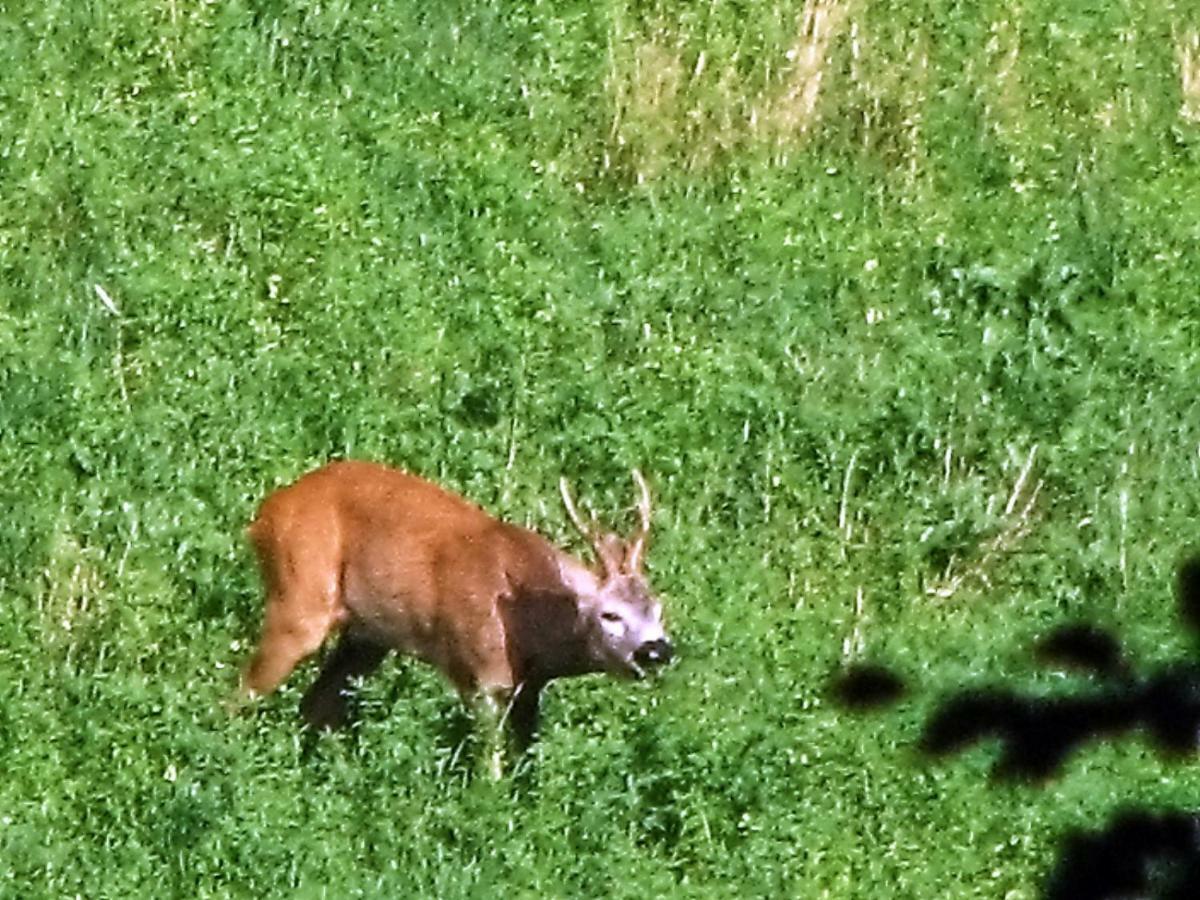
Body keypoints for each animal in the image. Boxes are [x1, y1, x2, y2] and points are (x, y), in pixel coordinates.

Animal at [234, 460, 676, 777]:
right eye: (610, 614)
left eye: (657, 608)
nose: (658, 650)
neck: (527, 630)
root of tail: (264, 515)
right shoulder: (479, 674)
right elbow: (490, 765)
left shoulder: (530, 688)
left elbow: (526, 758)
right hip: (298, 599)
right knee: (242, 693)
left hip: (366, 637)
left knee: (317, 704)